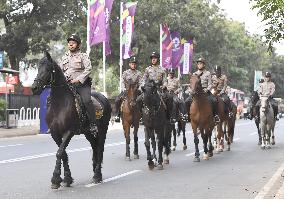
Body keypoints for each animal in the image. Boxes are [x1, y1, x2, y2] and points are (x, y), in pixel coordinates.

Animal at [31, 52, 111, 189]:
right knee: (94, 147)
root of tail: (104, 98)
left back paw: (97, 175)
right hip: (89, 133)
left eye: (48, 69)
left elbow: (59, 152)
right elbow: (63, 153)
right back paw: (96, 171)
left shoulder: (69, 132)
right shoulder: (55, 133)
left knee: (100, 149)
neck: (60, 104)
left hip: (102, 130)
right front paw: (67, 178)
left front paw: (55, 179)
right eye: (37, 68)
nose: (34, 88)